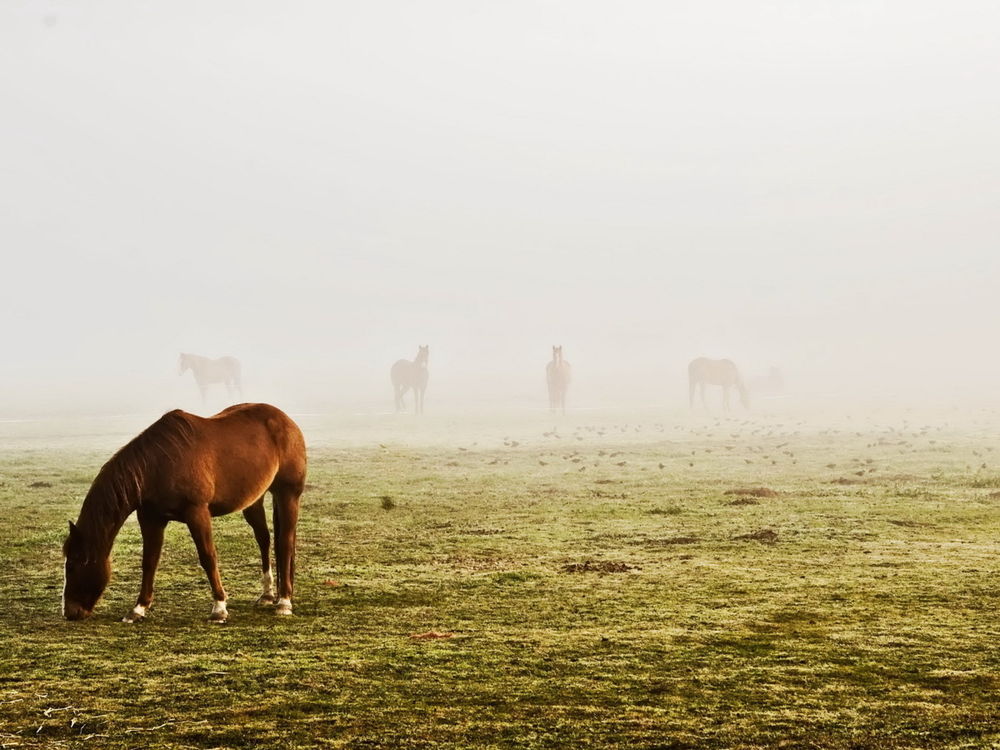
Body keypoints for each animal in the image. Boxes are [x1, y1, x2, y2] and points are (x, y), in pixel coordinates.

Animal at [62, 403, 307, 624]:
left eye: (72, 565)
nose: (68, 612)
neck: (156, 465)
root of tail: (286, 421)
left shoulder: (197, 513)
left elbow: (208, 557)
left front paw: (219, 608)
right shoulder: (151, 519)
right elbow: (149, 561)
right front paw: (138, 609)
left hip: (288, 495)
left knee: (285, 543)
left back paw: (284, 602)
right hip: (254, 500)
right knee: (264, 540)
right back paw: (268, 595)